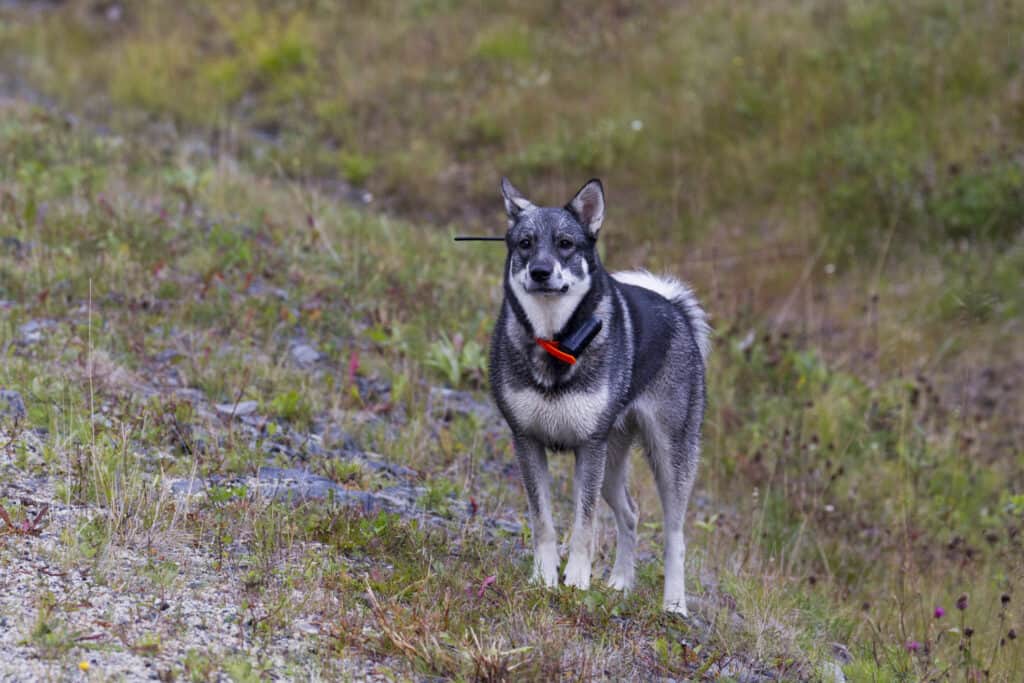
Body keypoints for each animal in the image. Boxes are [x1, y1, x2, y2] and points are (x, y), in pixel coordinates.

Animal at [489, 176, 712, 614]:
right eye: (525, 243)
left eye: (565, 243)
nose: (540, 272)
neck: (556, 339)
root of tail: (675, 308)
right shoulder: (527, 442)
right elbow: (543, 521)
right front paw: (544, 578)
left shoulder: (589, 449)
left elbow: (584, 524)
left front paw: (576, 580)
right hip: (611, 463)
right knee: (631, 515)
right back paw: (621, 582)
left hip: (668, 459)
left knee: (675, 537)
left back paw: (675, 604)